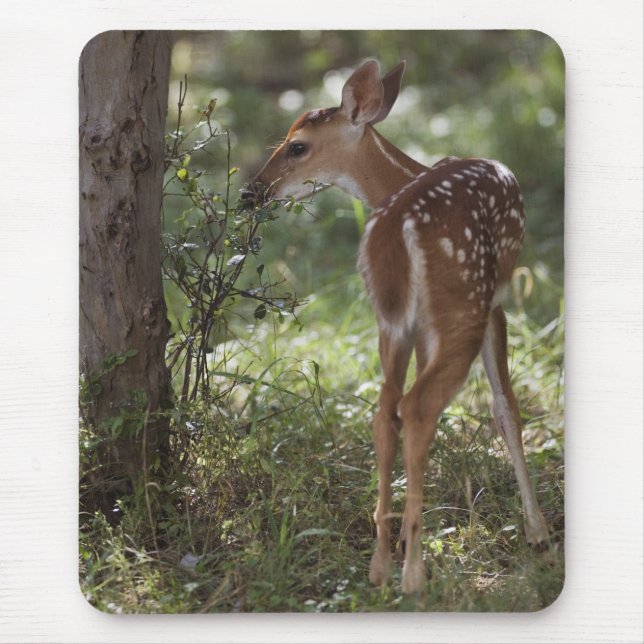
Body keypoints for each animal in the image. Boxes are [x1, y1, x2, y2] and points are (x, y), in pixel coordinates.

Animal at [243, 59, 549, 594]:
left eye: (297, 145)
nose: (249, 193)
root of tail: (400, 224)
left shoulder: (418, 320)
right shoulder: (494, 302)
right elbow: (506, 409)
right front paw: (538, 534)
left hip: (392, 318)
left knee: (388, 410)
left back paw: (383, 563)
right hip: (462, 304)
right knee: (419, 406)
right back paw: (413, 573)